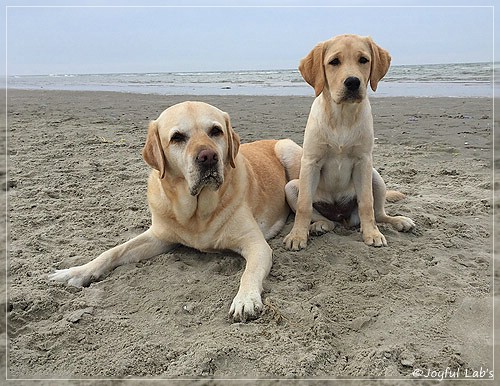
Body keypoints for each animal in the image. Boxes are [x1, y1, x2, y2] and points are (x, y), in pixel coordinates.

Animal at [50, 101, 300, 322]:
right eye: (177, 137)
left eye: (216, 131)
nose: (208, 157)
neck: (196, 212)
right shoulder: (158, 236)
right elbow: (113, 251)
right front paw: (77, 271)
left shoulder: (256, 244)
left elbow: (249, 272)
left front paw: (245, 299)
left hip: (289, 159)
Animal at [284, 34, 416, 252]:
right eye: (334, 62)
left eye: (363, 60)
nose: (353, 82)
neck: (342, 117)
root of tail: (342, 217)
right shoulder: (310, 162)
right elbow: (304, 206)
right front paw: (297, 235)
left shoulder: (363, 161)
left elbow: (366, 204)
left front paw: (372, 233)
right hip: (291, 186)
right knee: (324, 218)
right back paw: (320, 225)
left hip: (374, 176)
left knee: (378, 213)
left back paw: (397, 221)